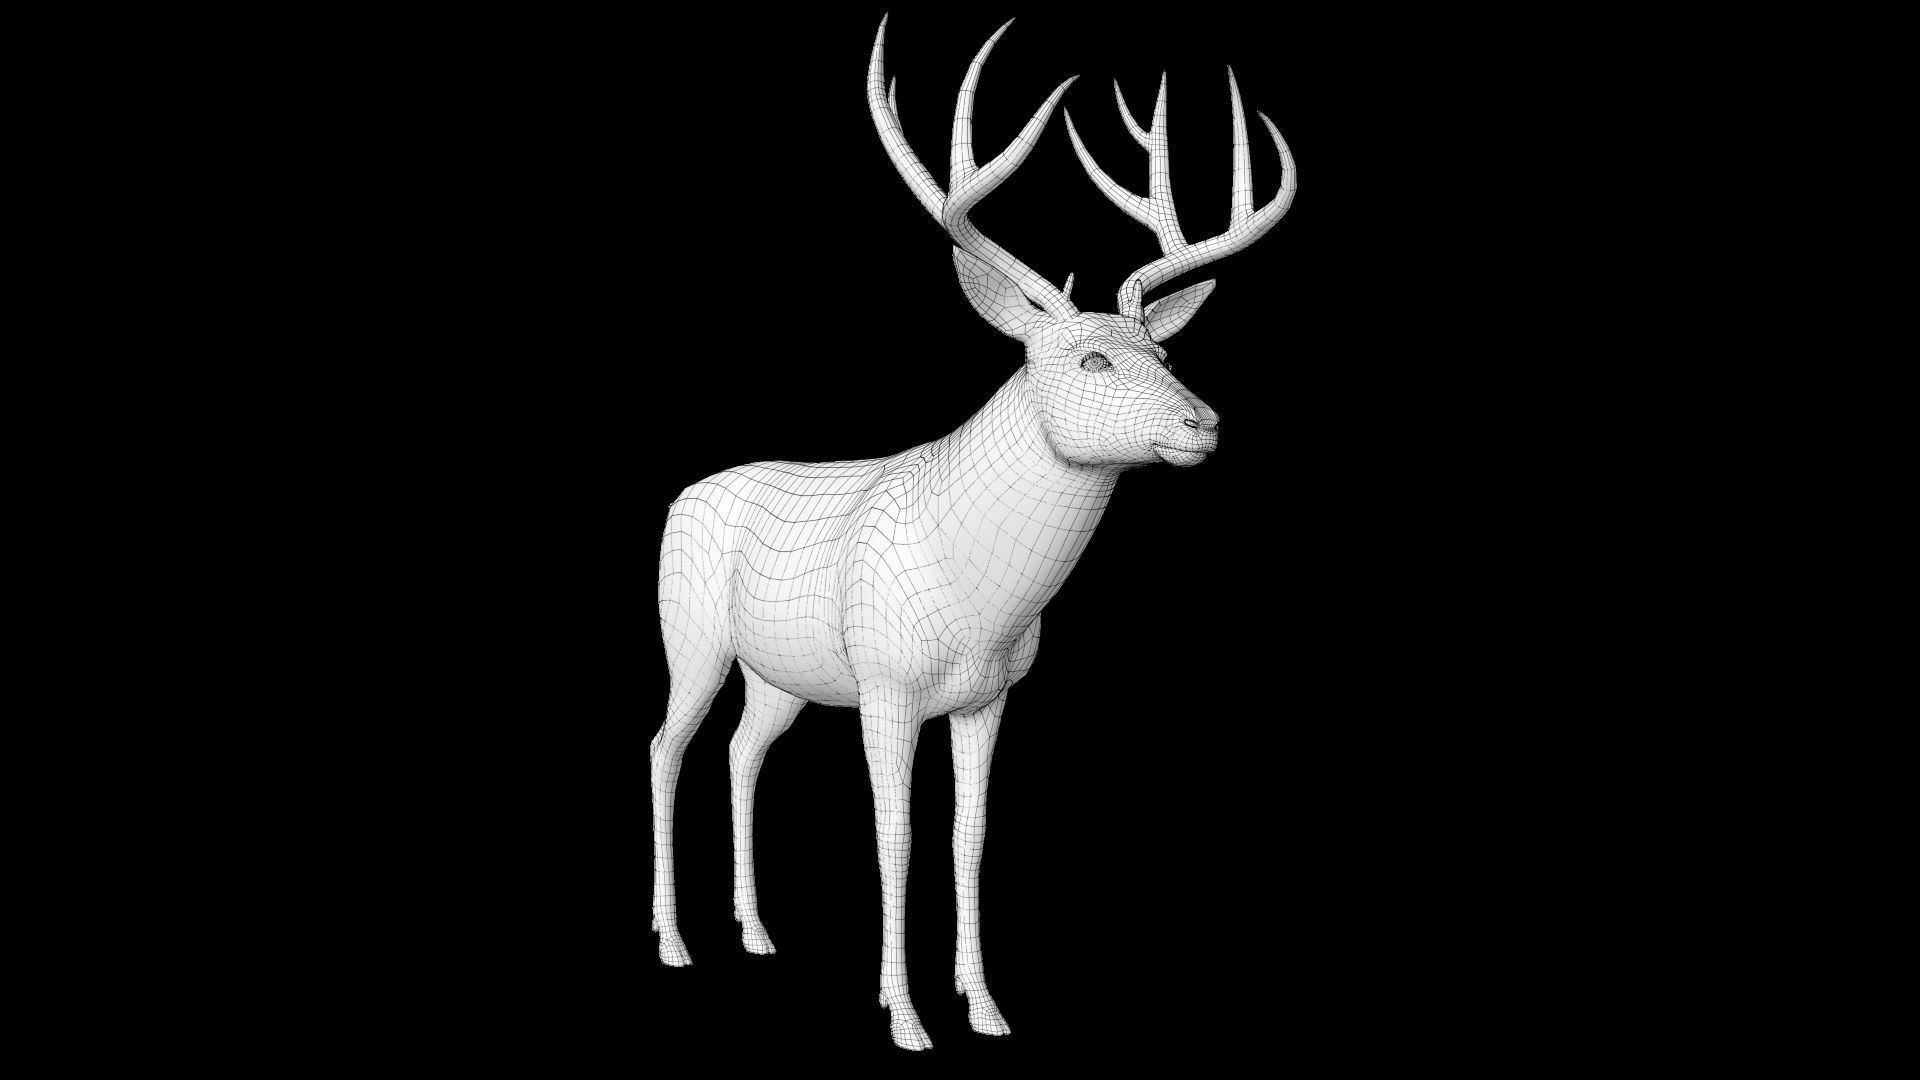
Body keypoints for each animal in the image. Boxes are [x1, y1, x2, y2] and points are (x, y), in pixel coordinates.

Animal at [651, 15, 1296, 1051]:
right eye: (1094, 356)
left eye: (1163, 349)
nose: (1205, 423)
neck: (980, 596)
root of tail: (681, 497)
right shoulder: (885, 684)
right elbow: (896, 831)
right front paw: (906, 1016)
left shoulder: (989, 697)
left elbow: (971, 834)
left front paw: (985, 1007)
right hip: (695, 636)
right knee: (668, 747)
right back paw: (674, 941)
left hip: (779, 674)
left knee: (743, 751)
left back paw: (754, 932)